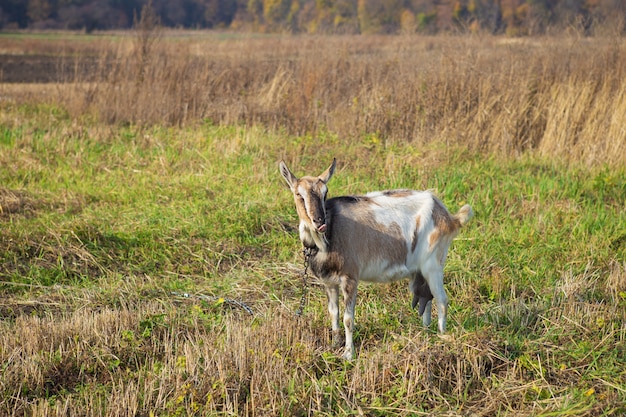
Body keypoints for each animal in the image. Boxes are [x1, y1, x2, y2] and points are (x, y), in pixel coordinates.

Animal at [280, 158, 472, 360]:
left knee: (442, 300)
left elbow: (348, 319)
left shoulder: (350, 277)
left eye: (325, 194)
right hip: (421, 271)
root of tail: (449, 217)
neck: (330, 233)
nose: (319, 221)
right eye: (298, 194)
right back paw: (426, 334)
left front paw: (349, 354)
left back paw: (442, 338)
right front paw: (334, 345)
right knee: (427, 299)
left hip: (433, 264)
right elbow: (333, 314)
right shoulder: (329, 283)